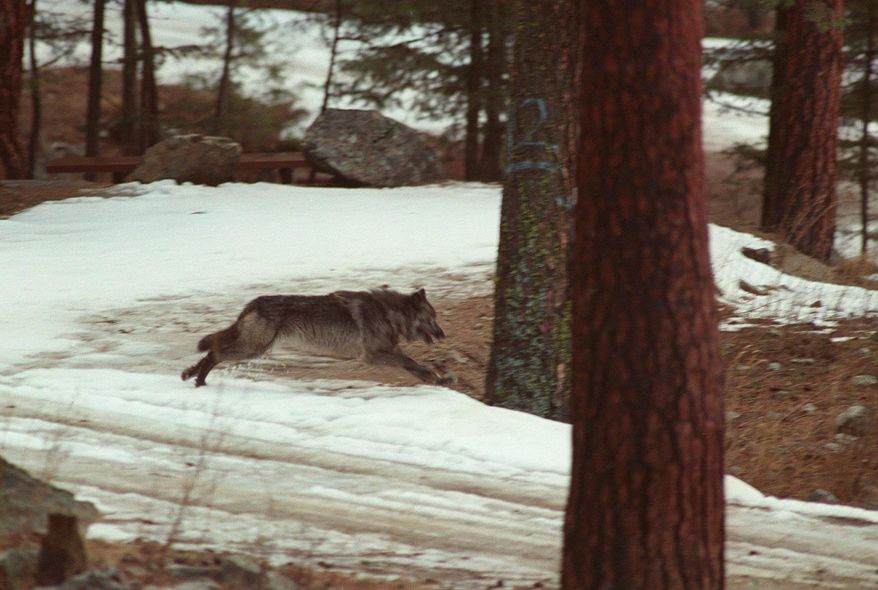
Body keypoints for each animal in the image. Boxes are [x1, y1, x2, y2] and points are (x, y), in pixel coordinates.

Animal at [181, 287, 447, 387]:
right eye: (432, 317)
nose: (443, 335)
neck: (388, 313)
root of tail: (252, 303)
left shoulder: (388, 352)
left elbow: (414, 366)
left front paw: (437, 379)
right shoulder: (374, 355)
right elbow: (411, 362)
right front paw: (436, 377)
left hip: (252, 347)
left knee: (213, 348)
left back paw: (190, 374)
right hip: (252, 349)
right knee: (215, 353)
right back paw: (200, 380)